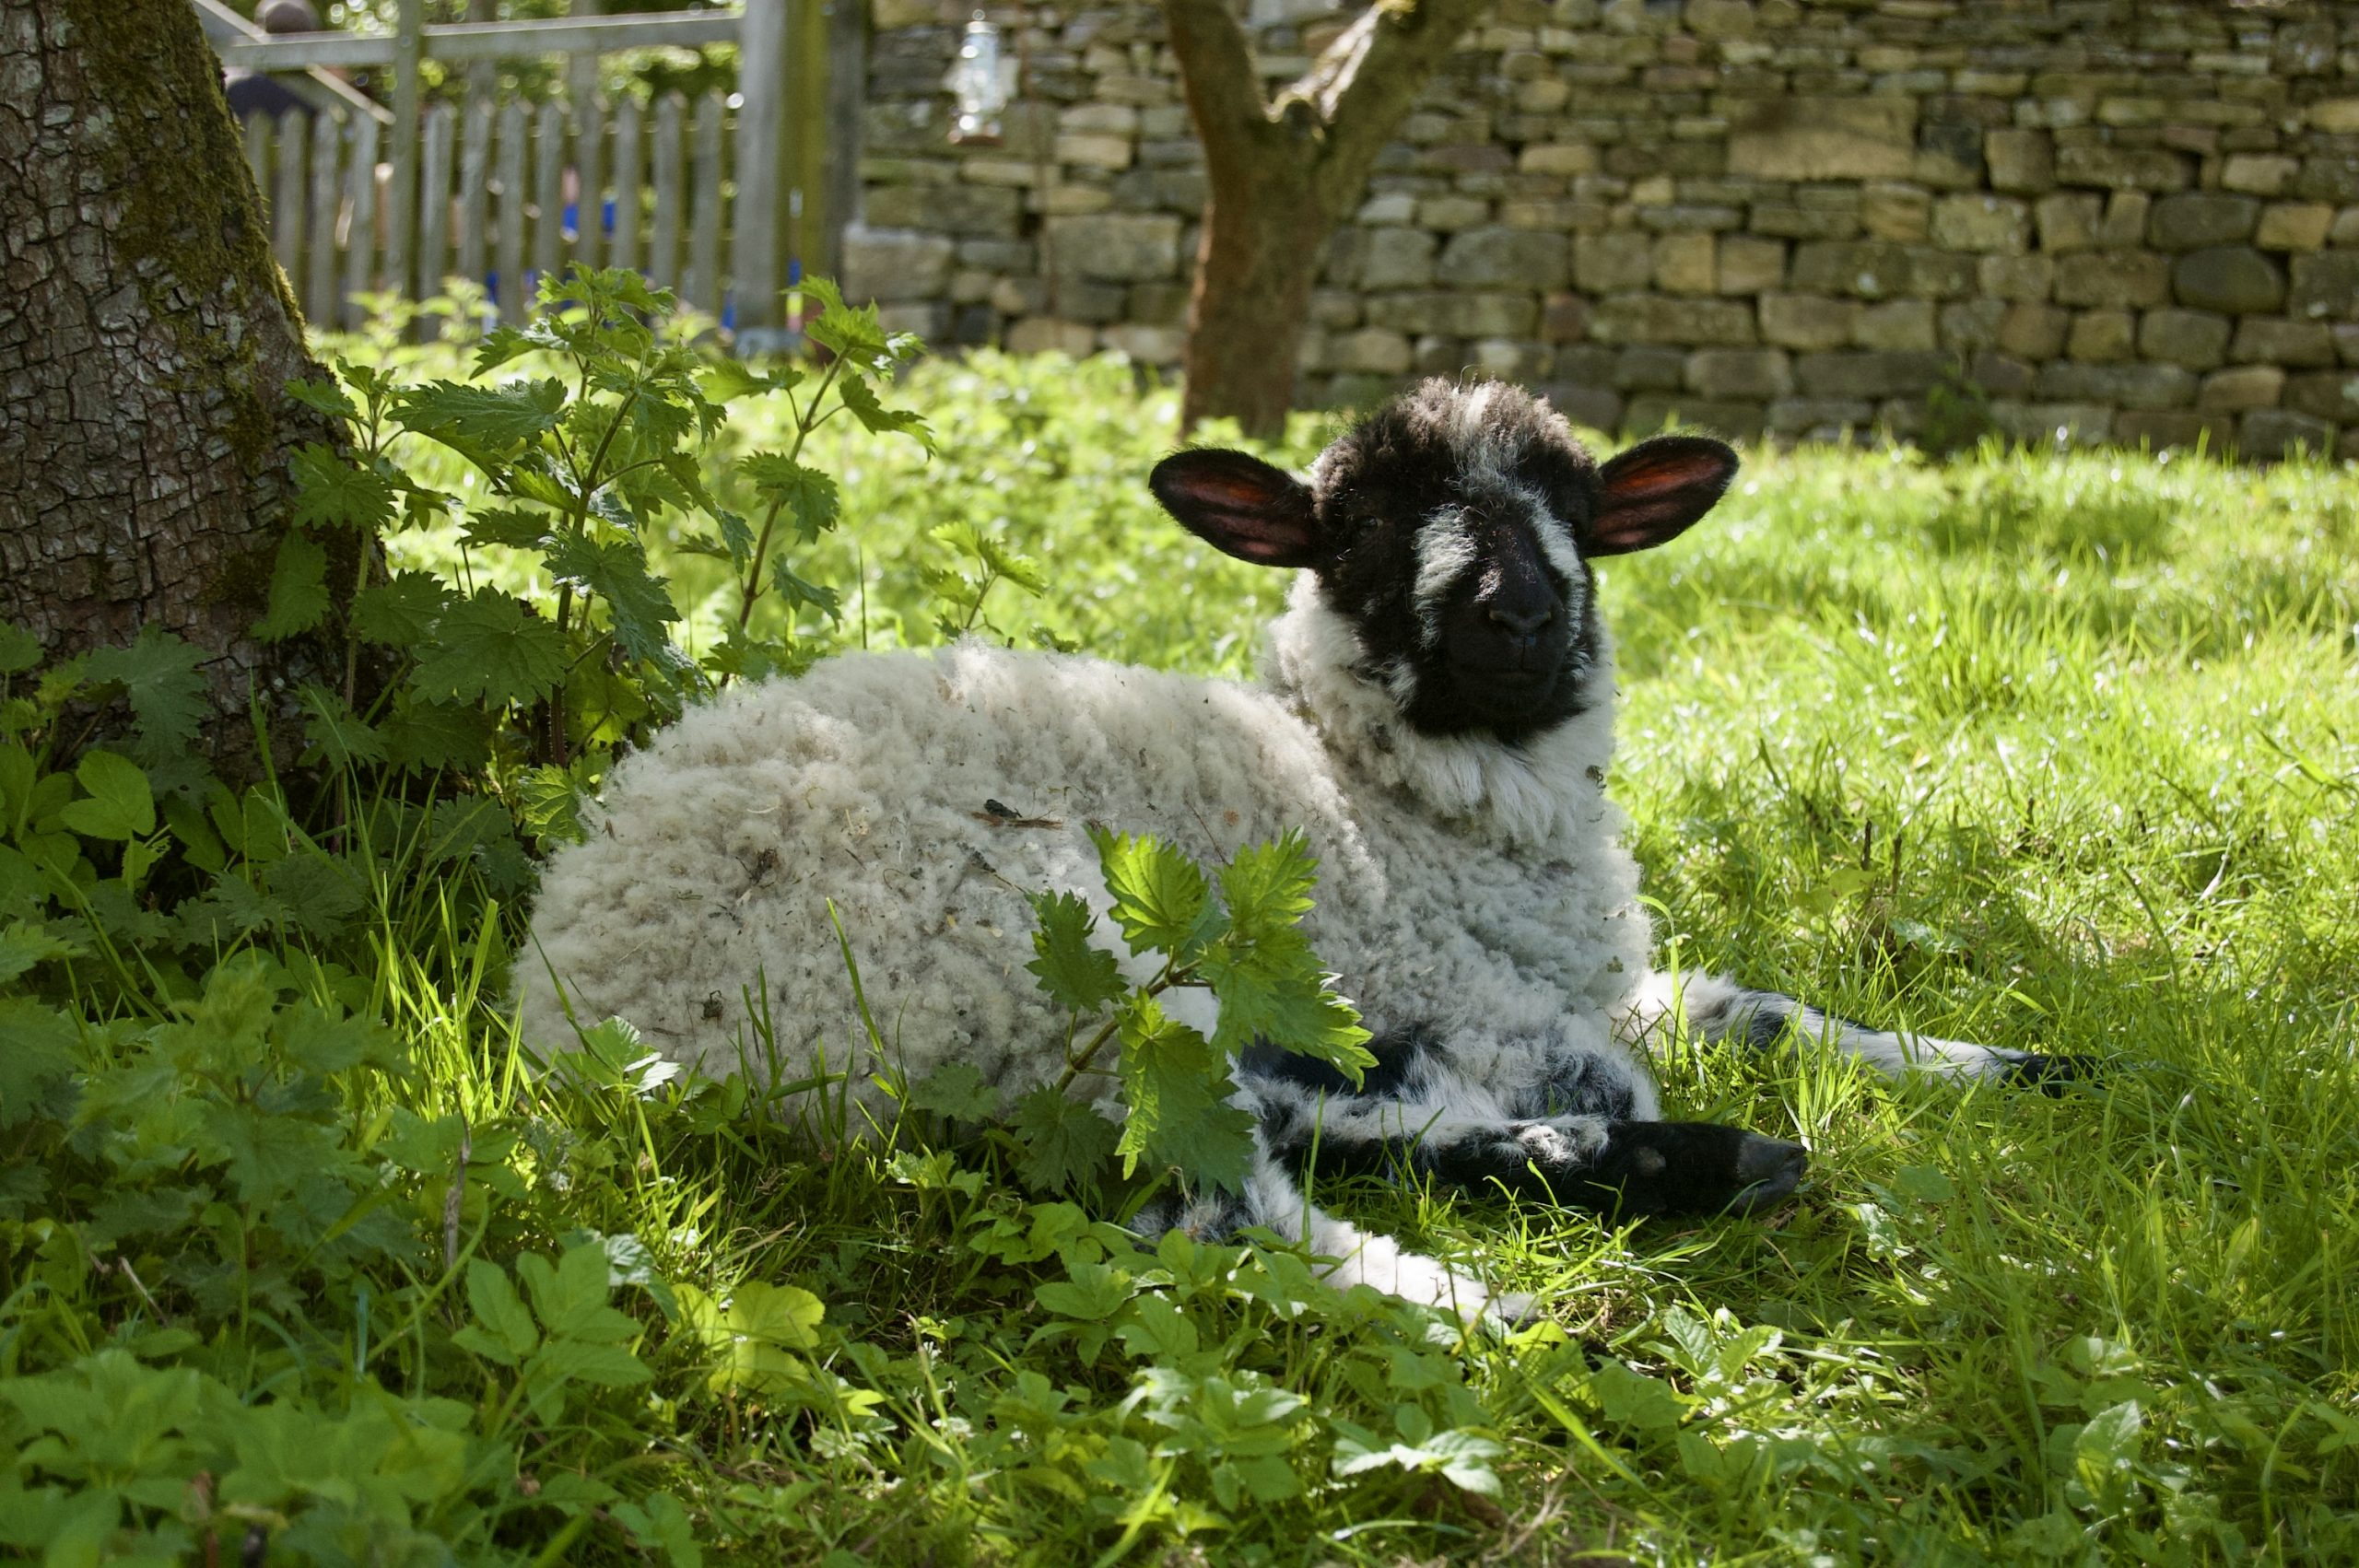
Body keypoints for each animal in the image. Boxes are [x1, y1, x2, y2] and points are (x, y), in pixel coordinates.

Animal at [520, 378, 2075, 1319]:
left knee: (1296, 1125)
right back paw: (1509, 1302)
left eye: (1579, 514)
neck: (1385, 792)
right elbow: (1617, 1063)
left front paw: (2019, 1064)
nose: (1519, 614)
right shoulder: (1478, 990)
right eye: (1366, 526)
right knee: (1219, 1201)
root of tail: (575, 995)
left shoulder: (1585, 978)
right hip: (1039, 953)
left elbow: (1768, 1009)